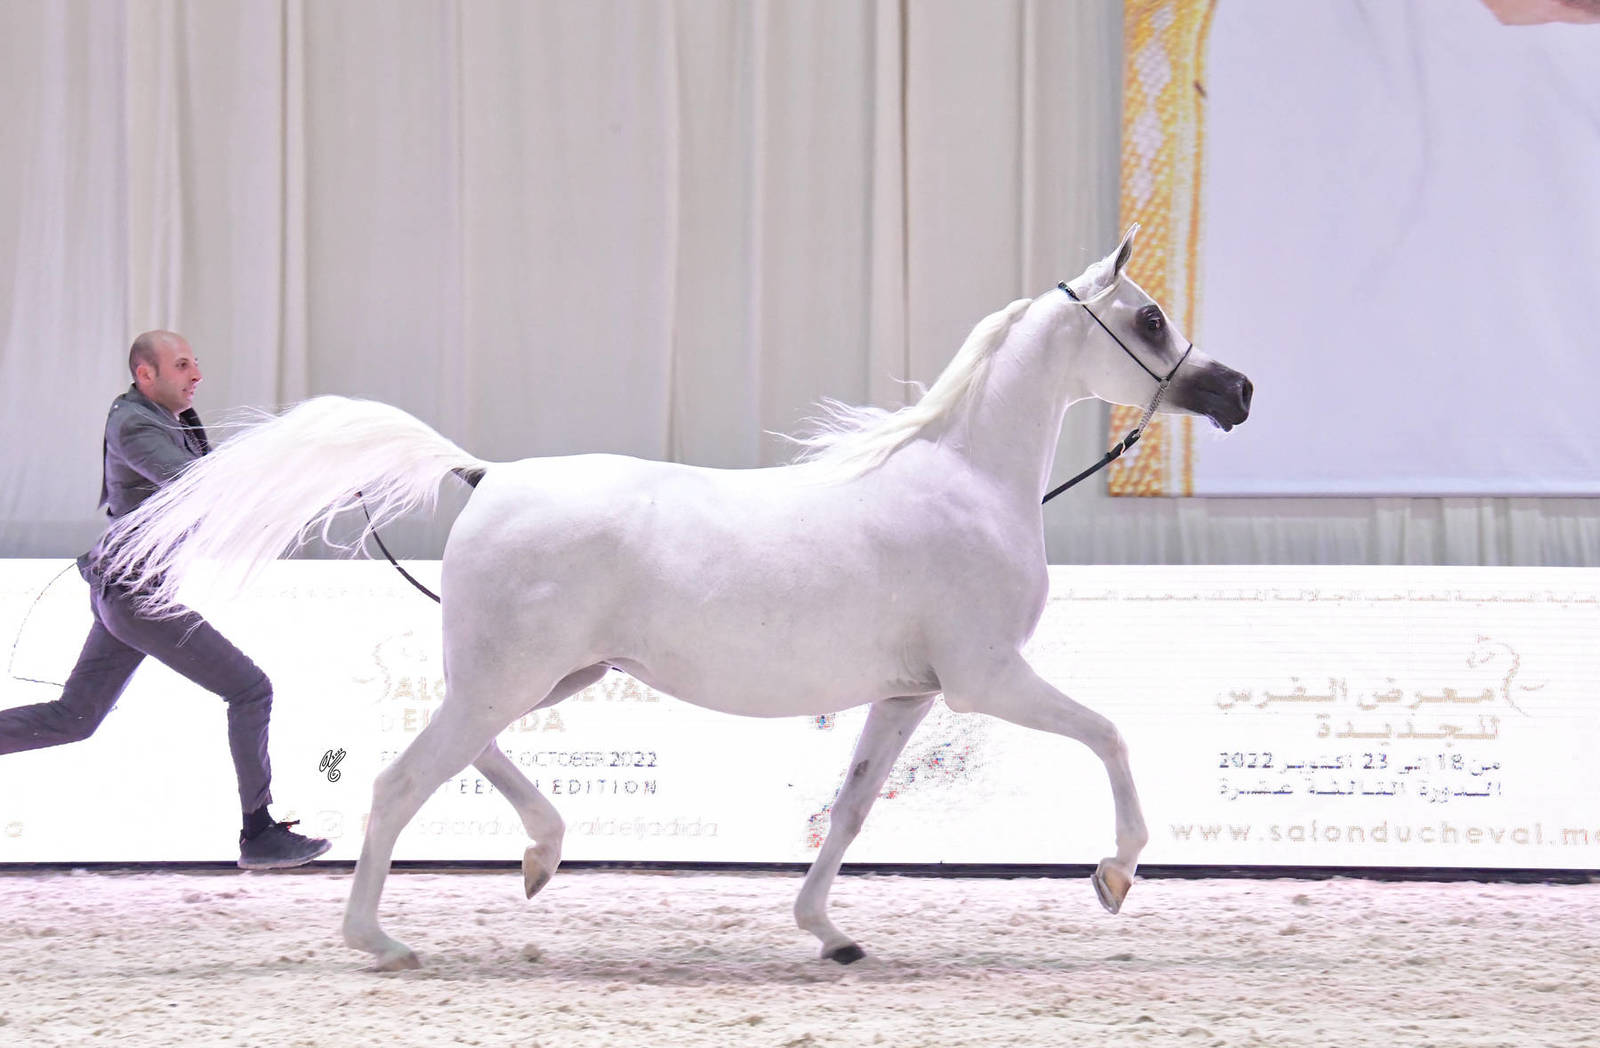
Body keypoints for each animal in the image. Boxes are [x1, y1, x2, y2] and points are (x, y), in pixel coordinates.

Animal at [103, 227, 1252, 971]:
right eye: (1150, 319)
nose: (1236, 391)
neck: (967, 483)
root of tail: (485, 474)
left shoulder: (908, 693)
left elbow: (848, 809)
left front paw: (829, 932)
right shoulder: (987, 679)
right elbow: (1109, 736)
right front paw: (1114, 874)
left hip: (544, 677)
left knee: (462, 759)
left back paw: (539, 856)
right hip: (510, 679)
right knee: (400, 783)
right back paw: (380, 940)